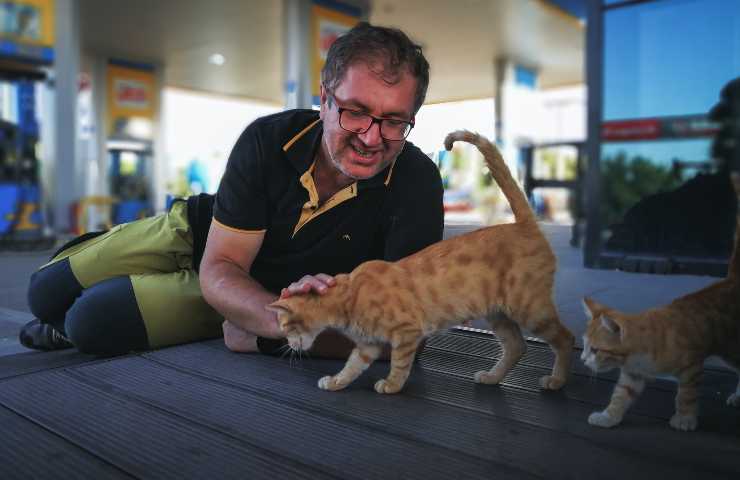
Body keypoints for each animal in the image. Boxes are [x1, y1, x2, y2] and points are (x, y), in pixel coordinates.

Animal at [268, 130, 576, 394]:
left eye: (285, 327)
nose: (287, 347)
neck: (349, 294)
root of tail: (524, 224)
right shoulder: (368, 345)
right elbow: (351, 367)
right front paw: (335, 382)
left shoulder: (407, 333)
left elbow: (399, 365)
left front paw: (391, 386)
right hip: (498, 312)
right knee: (516, 346)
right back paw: (492, 377)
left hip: (530, 308)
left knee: (566, 339)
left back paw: (557, 381)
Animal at [584, 172, 740, 432]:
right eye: (584, 346)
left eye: (595, 349)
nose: (582, 359)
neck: (638, 354)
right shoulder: (632, 375)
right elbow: (619, 397)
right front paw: (608, 417)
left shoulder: (691, 367)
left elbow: (686, 395)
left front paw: (684, 418)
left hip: (731, 348)